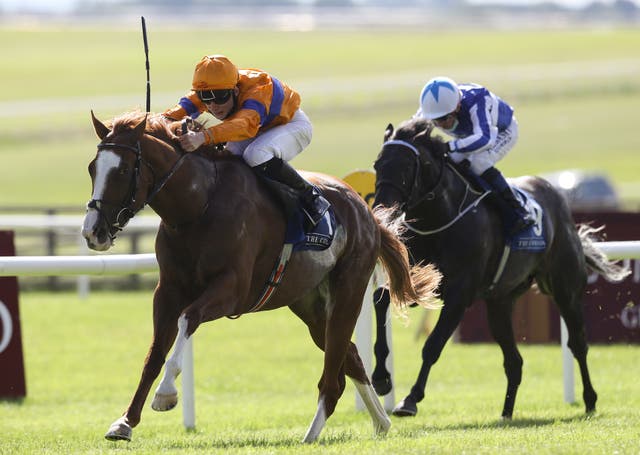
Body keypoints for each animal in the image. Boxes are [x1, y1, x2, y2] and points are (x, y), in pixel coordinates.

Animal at [80, 111, 442, 446]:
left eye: (122, 171)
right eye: (92, 168)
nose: (93, 232)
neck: (198, 206)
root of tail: (366, 212)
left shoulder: (232, 290)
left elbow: (188, 318)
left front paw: (166, 394)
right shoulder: (168, 290)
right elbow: (154, 353)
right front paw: (124, 422)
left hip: (348, 291)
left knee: (333, 377)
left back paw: (312, 434)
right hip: (310, 305)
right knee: (350, 357)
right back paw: (381, 422)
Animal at [370, 116, 632, 420]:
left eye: (407, 167)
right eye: (378, 164)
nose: (382, 209)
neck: (439, 219)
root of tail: (558, 201)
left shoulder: (459, 294)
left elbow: (433, 345)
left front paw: (410, 399)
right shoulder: (418, 283)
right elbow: (379, 299)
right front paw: (381, 377)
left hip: (566, 290)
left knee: (577, 344)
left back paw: (589, 400)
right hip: (500, 303)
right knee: (514, 361)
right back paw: (506, 412)